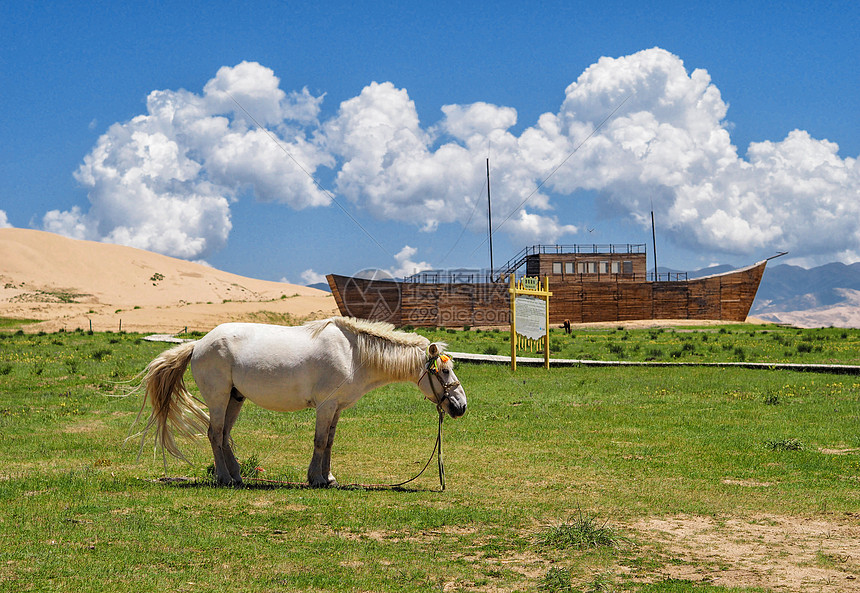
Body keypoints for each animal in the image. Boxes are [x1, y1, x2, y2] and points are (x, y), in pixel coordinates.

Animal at [135, 314, 466, 486]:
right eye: (445, 370)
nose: (461, 406)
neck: (353, 352)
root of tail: (198, 344)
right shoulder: (325, 406)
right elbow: (319, 442)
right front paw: (316, 478)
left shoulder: (336, 409)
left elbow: (329, 442)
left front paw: (328, 477)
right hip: (217, 398)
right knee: (215, 434)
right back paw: (224, 478)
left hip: (234, 398)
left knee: (225, 435)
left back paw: (237, 475)